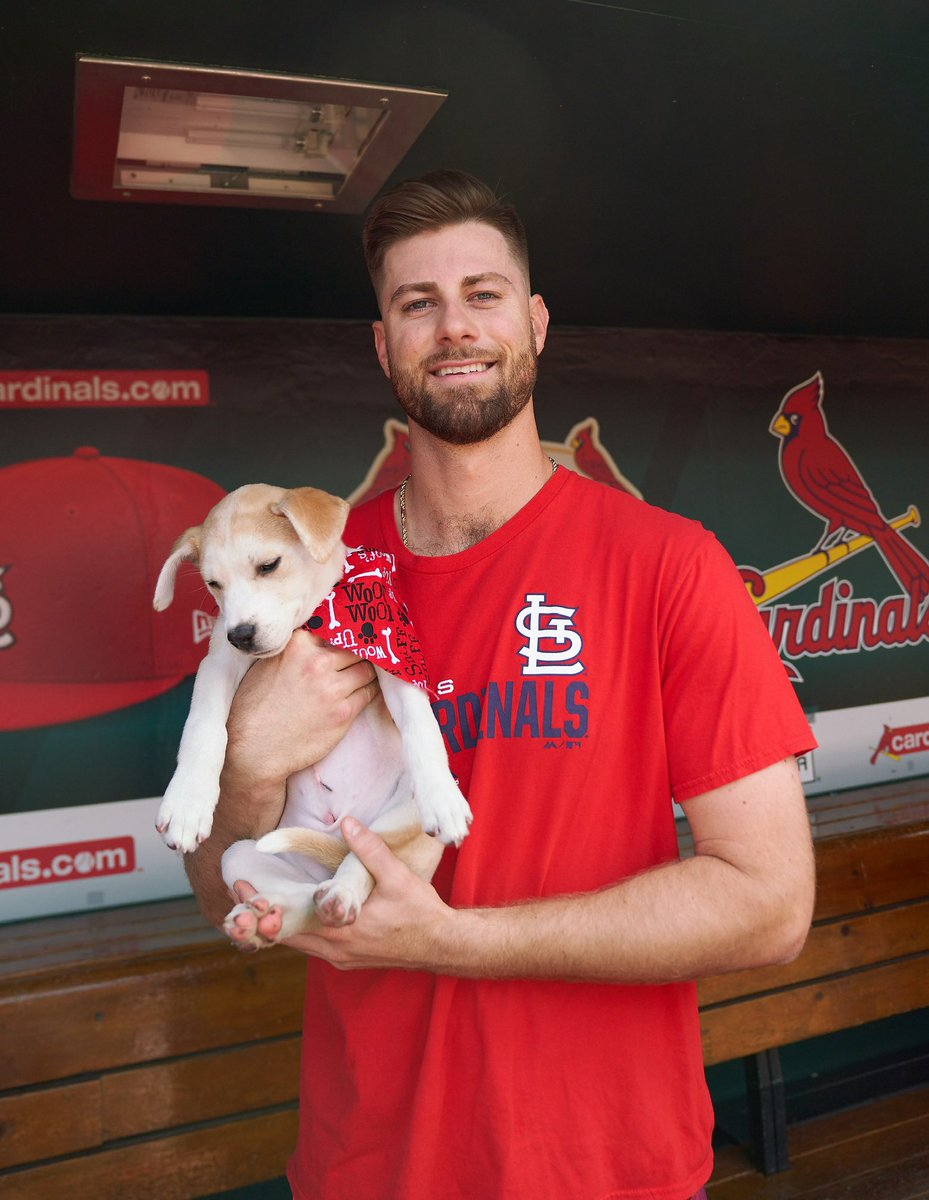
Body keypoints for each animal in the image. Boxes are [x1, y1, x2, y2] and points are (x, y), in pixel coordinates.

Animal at [154, 484, 472, 945]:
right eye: (214, 584)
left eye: (268, 565)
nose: (241, 636)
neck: (312, 623)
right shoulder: (216, 665)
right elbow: (203, 728)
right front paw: (186, 802)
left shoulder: (393, 659)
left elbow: (421, 728)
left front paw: (441, 797)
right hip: (240, 855)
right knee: (306, 902)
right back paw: (270, 914)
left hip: (398, 821)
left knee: (363, 859)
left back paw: (342, 893)